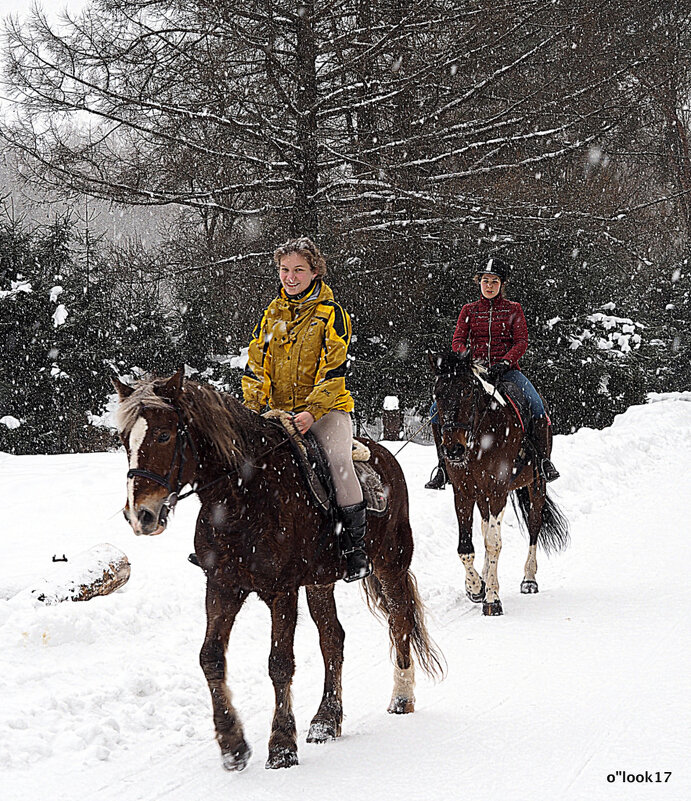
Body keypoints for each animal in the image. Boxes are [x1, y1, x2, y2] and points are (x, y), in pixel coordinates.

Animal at [113, 372, 444, 772]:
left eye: (164, 435)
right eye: (123, 439)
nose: (140, 515)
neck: (242, 495)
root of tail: (383, 456)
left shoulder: (281, 591)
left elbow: (280, 663)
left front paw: (282, 745)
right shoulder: (222, 586)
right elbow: (210, 657)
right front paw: (232, 744)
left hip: (389, 564)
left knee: (400, 622)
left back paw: (401, 697)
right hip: (320, 582)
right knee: (333, 639)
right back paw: (326, 720)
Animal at [430, 346, 572, 616]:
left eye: (467, 390)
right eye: (438, 393)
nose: (453, 450)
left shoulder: (497, 491)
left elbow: (494, 543)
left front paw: (492, 599)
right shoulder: (463, 493)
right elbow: (466, 547)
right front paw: (476, 587)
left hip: (536, 485)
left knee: (534, 525)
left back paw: (529, 579)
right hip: (482, 495)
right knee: (486, 526)